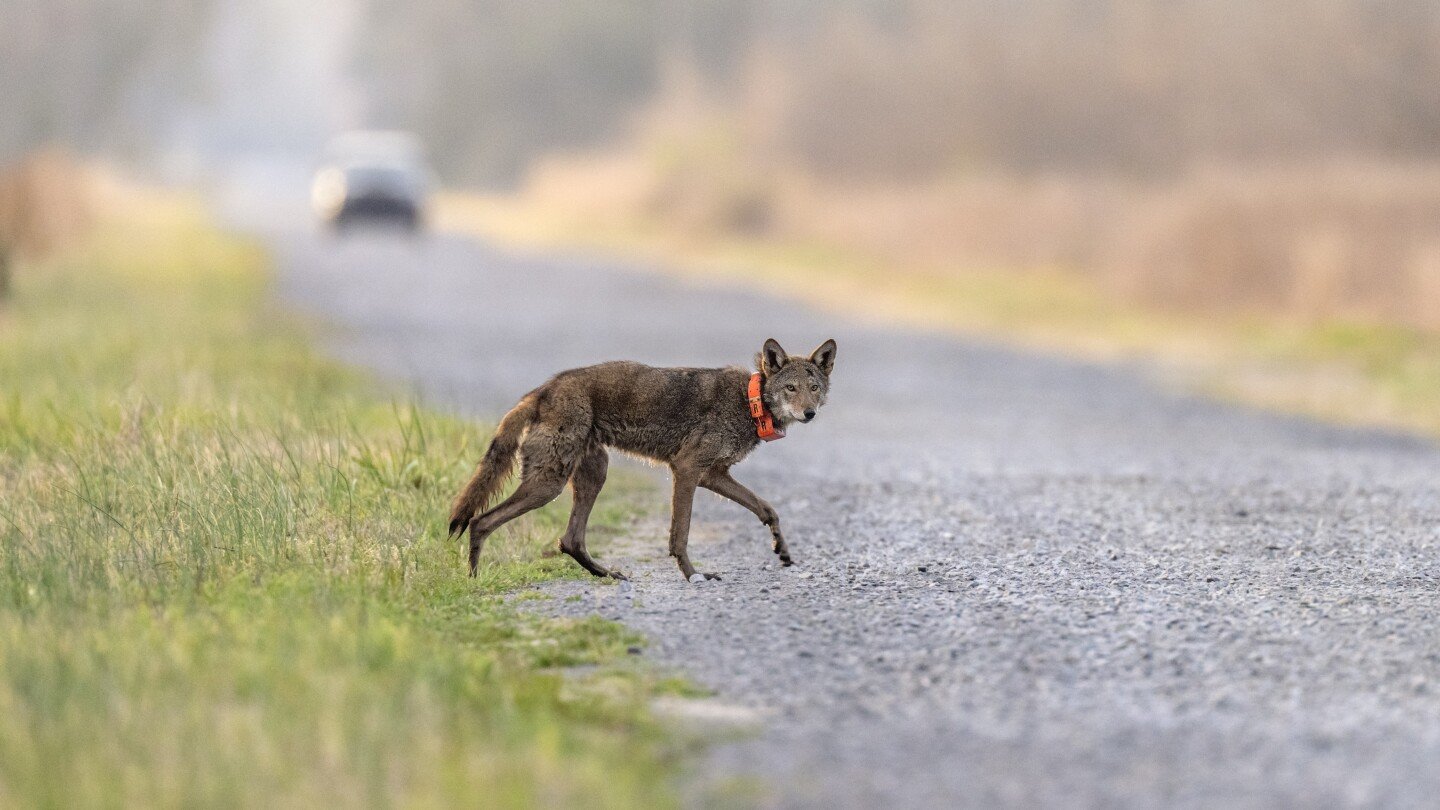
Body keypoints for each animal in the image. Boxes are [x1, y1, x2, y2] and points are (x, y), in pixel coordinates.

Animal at [448, 338, 836, 582]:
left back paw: (607, 574)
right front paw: (694, 576)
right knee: (481, 521)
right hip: (548, 485)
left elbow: (767, 509)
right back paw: (474, 582)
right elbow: (680, 535)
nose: (810, 413)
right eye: (790, 389)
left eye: (814, 388)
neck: (749, 401)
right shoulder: (687, 470)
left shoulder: (713, 474)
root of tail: (543, 389)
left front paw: (781, 550)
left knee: (570, 540)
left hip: (592, 476)